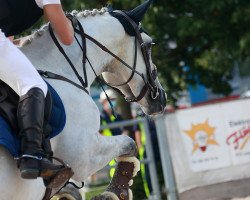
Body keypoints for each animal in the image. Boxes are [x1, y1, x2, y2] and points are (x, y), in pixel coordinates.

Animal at [0, 0, 166, 199]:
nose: (161, 98)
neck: (61, 71)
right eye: (149, 45)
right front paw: (116, 191)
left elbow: (71, 190)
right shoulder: (85, 156)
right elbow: (130, 143)